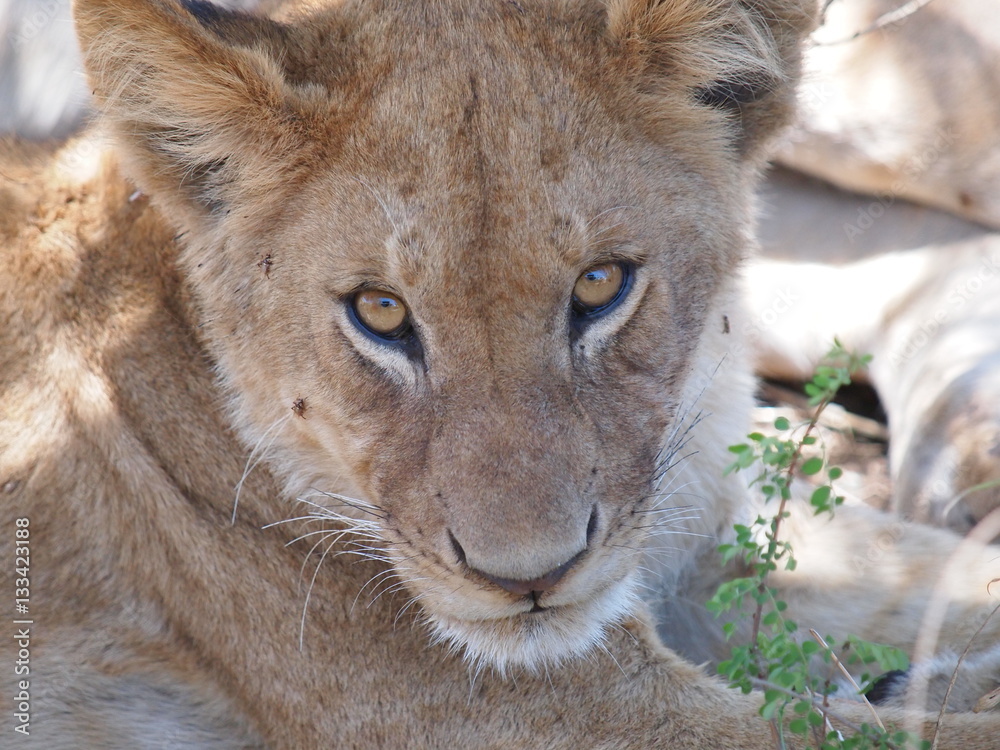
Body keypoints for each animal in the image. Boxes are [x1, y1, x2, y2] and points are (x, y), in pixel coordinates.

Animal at [2, 0, 1000, 747]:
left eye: (601, 284)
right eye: (380, 311)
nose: (530, 578)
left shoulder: (703, 523)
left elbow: (946, 579)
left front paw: (933, 673)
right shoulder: (574, 709)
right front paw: (933, 691)